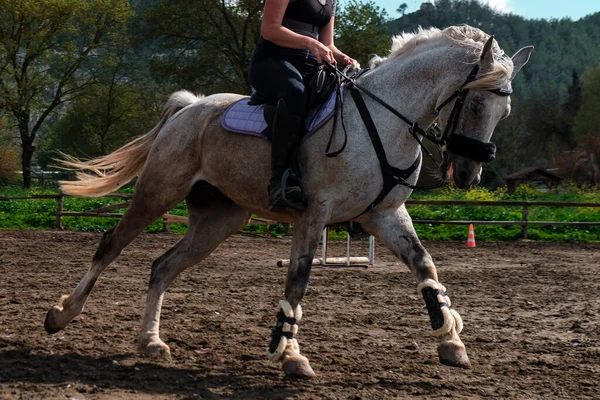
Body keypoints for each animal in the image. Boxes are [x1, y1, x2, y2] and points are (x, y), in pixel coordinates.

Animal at [47, 25, 536, 378]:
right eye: (476, 106)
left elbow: (425, 266)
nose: (467, 175)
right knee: (111, 245)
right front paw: (290, 354)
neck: (384, 118)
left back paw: (149, 341)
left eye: (505, 112)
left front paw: (450, 340)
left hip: (219, 220)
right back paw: (62, 314)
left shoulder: (384, 215)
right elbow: (298, 280)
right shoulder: (314, 214)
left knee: (162, 266)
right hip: (157, 194)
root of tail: (190, 108)